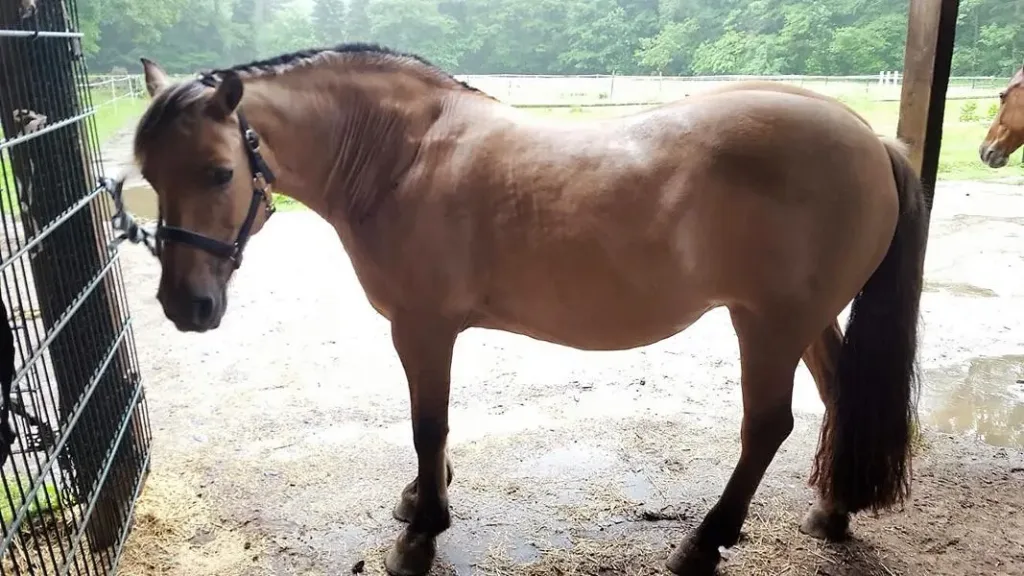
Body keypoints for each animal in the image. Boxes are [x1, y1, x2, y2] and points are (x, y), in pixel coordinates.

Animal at [133, 44, 927, 576]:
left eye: (220, 172)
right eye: (147, 172)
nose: (185, 306)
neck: (400, 157)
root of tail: (869, 138)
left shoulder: (422, 327)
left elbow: (427, 424)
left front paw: (422, 533)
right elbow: (432, 430)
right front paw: (420, 496)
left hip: (767, 324)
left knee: (767, 426)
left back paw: (704, 543)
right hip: (808, 321)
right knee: (839, 397)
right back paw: (831, 511)